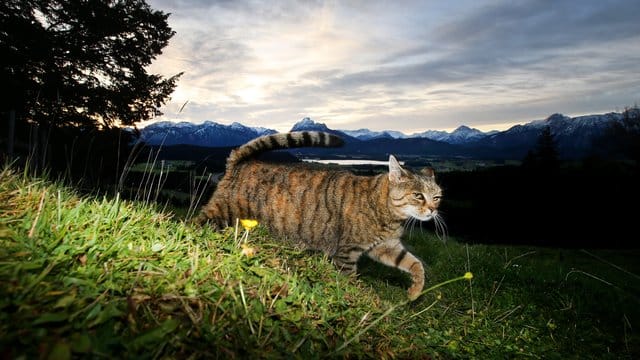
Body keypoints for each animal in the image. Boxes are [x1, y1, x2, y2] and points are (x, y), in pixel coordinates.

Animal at [198, 131, 442, 300]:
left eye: (438, 197)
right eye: (418, 196)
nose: (433, 210)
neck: (388, 214)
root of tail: (240, 161)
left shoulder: (387, 247)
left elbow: (415, 264)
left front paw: (415, 291)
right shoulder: (347, 253)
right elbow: (350, 281)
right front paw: (360, 297)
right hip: (221, 212)